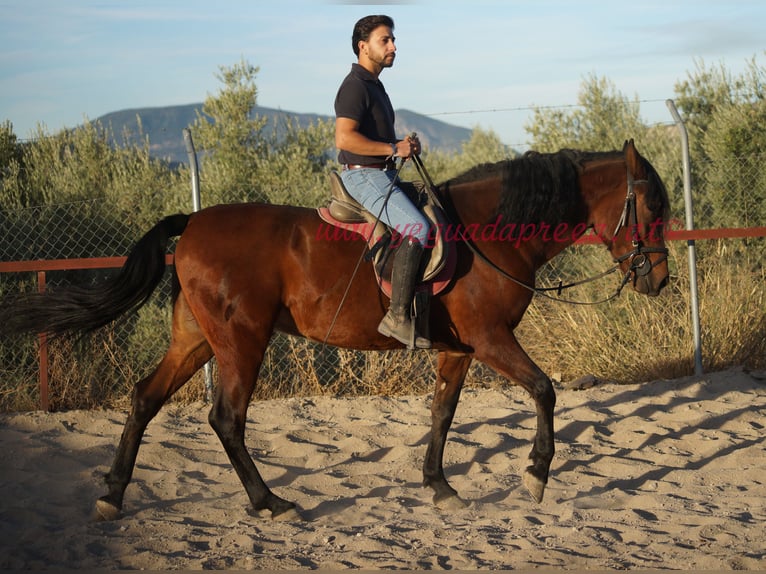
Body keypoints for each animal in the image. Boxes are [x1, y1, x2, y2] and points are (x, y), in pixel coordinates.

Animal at [0, 139, 670, 521]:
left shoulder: (459, 349)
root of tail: (192, 222)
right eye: (653, 207)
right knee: (226, 418)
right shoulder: (490, 339)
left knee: (144, 399)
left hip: (196, 339)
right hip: (241, 340)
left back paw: (113, 495)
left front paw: (439, 488)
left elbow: (442, 414)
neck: (487, 232)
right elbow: (545, 390)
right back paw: (268, 502)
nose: (658, 278)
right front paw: (535, 475)